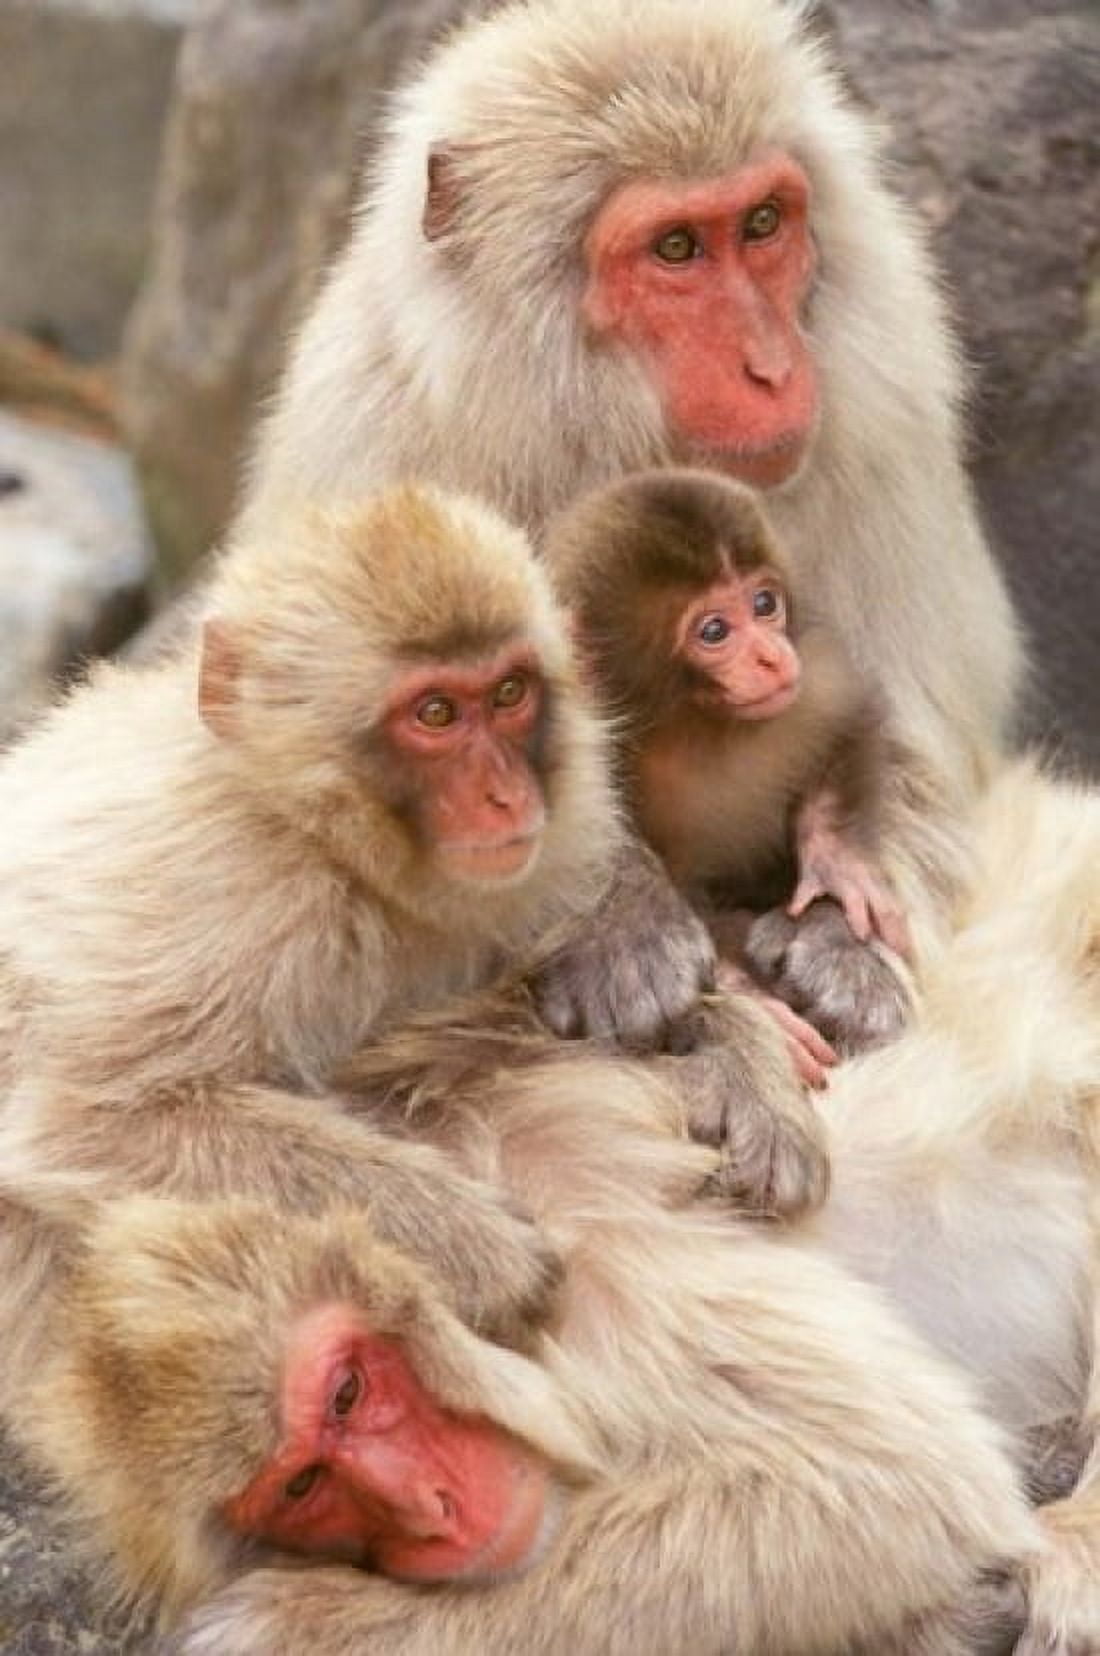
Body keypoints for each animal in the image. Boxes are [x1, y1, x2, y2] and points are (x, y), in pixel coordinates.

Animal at [544, 467, 912, 1078]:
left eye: (765, 603)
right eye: (713, 631)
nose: (771, 655)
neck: (697, 726)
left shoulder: (810, 682)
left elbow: (851, 719)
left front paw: (835, 865)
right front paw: (750, 999)